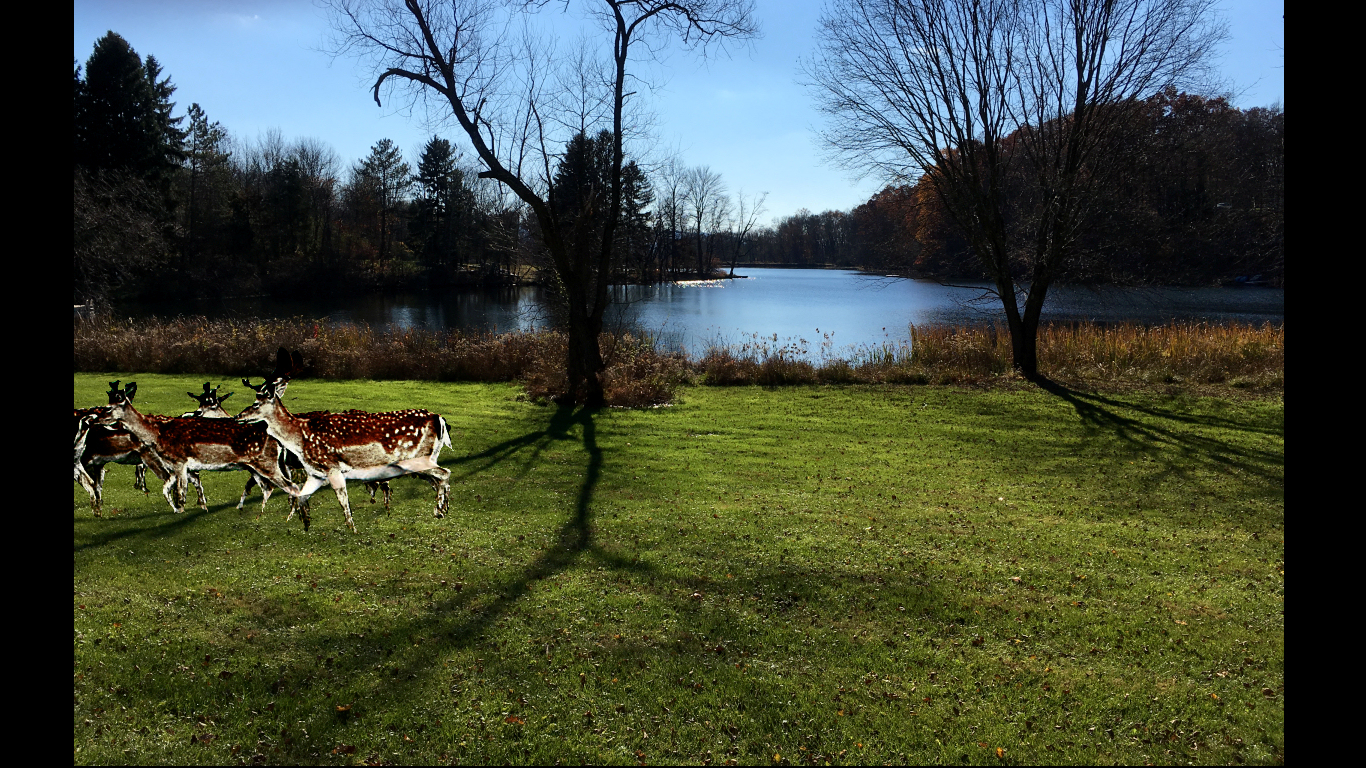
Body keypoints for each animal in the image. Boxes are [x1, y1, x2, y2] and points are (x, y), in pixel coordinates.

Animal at [96, 381, 300, 515]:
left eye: (108, 408)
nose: (96, 419)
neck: (158, 434)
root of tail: (276, 439)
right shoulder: (175, 467)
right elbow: (166, 490)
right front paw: (181, 510)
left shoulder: (180, 462)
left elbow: (181, 493)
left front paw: (182, 510)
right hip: (256, 466)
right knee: (269, 488)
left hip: (266, 462)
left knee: (291, 485)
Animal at [235, 348, 452, 532]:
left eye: (257, 402)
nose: (238, 416)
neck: (300, 437)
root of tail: (439, 419)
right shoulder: (315, 474)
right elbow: (302, 497)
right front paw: (303, 525)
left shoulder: (332, 467)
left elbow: (343, 501)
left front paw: (352, 530)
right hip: (421, 461)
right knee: (439, 479)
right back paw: (443, 509)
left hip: (418, 459)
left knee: (445, 473)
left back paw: (439, 510)